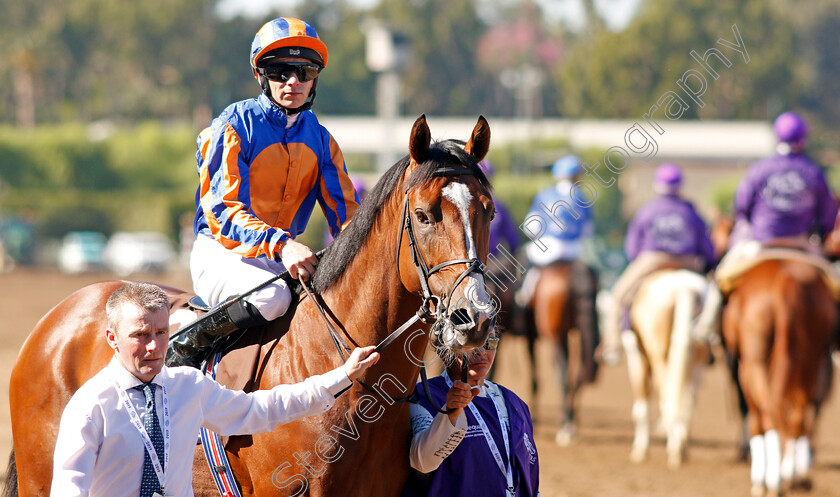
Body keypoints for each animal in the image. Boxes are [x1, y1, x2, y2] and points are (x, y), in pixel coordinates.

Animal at [620, 268, 712, 464]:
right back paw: (681, 445)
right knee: (688, 400)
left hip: (658, 357)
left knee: (666, 396)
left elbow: (641, 407)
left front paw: (640, 450)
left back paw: (675, 448)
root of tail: (684, 287)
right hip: (697, 362)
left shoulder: (635, 357)